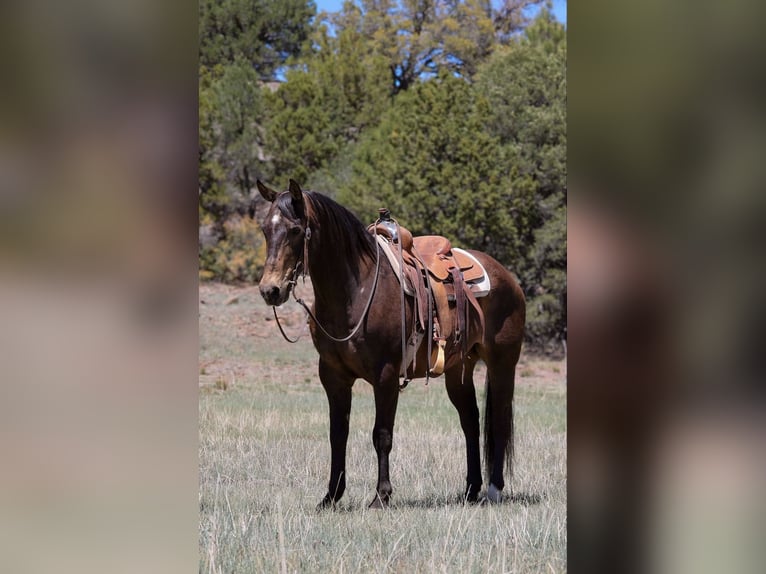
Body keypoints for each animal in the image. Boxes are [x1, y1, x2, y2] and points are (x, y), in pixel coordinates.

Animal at [256, 179, 525, 509]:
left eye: (295, 230)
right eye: (265, 229)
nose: (270, 290)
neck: (354, 291)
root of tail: (508, 277)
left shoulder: (384, 375)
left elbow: (381, 434)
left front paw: (381, 496)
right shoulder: (333, 376)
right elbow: (337, 434)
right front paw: (331, 496)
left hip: (503, 364)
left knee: (498, 420)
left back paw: (494, 489)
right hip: (458, 369)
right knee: (470, 422)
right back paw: (471, 490)